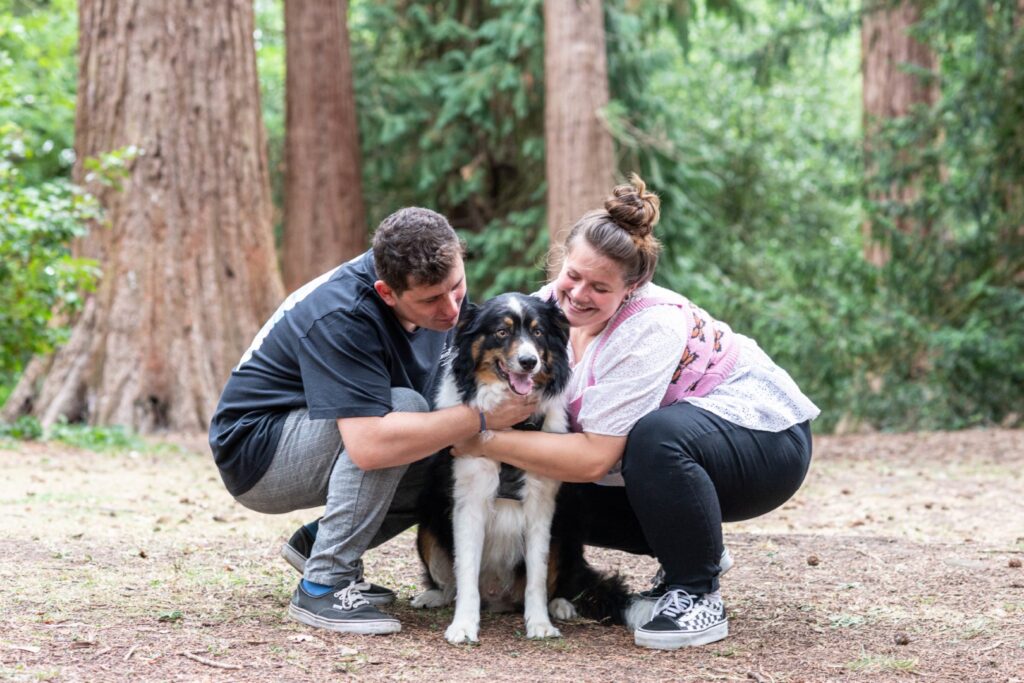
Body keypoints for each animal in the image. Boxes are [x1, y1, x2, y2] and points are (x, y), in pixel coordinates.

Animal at [411, 294, 626, 647]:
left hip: (567, 532)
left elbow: (537, 576)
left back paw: (561, 605)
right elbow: (465, 570)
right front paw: (464, 625)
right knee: (449, 582)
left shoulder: (542, 505)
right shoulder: (468, 501)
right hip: (427, 526)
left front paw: (539, 623)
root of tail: (498, 598)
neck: (513, 425)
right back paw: (434, 596)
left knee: (561, 579)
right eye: (501, 332)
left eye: (538, 333)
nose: (529, 362)